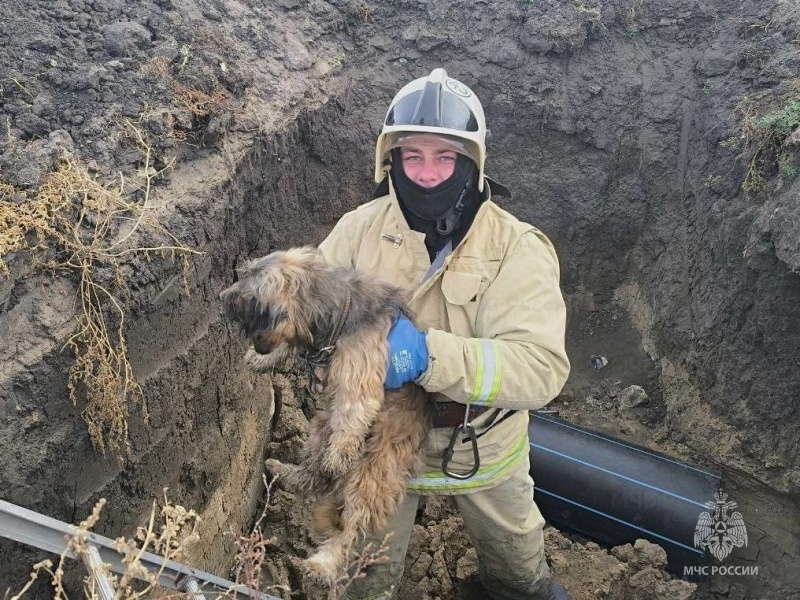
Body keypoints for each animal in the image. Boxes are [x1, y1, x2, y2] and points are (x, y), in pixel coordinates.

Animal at [219, 247, 432, 584]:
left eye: (248, 296)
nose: (222, 297)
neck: (340, 305)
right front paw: (262, 358)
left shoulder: (362, 368)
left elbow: (354, 409)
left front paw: (340, 455)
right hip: (320, 425)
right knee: (314, 475)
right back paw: (285, 472)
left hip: (373, 470)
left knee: (351, 524)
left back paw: (324, 564)